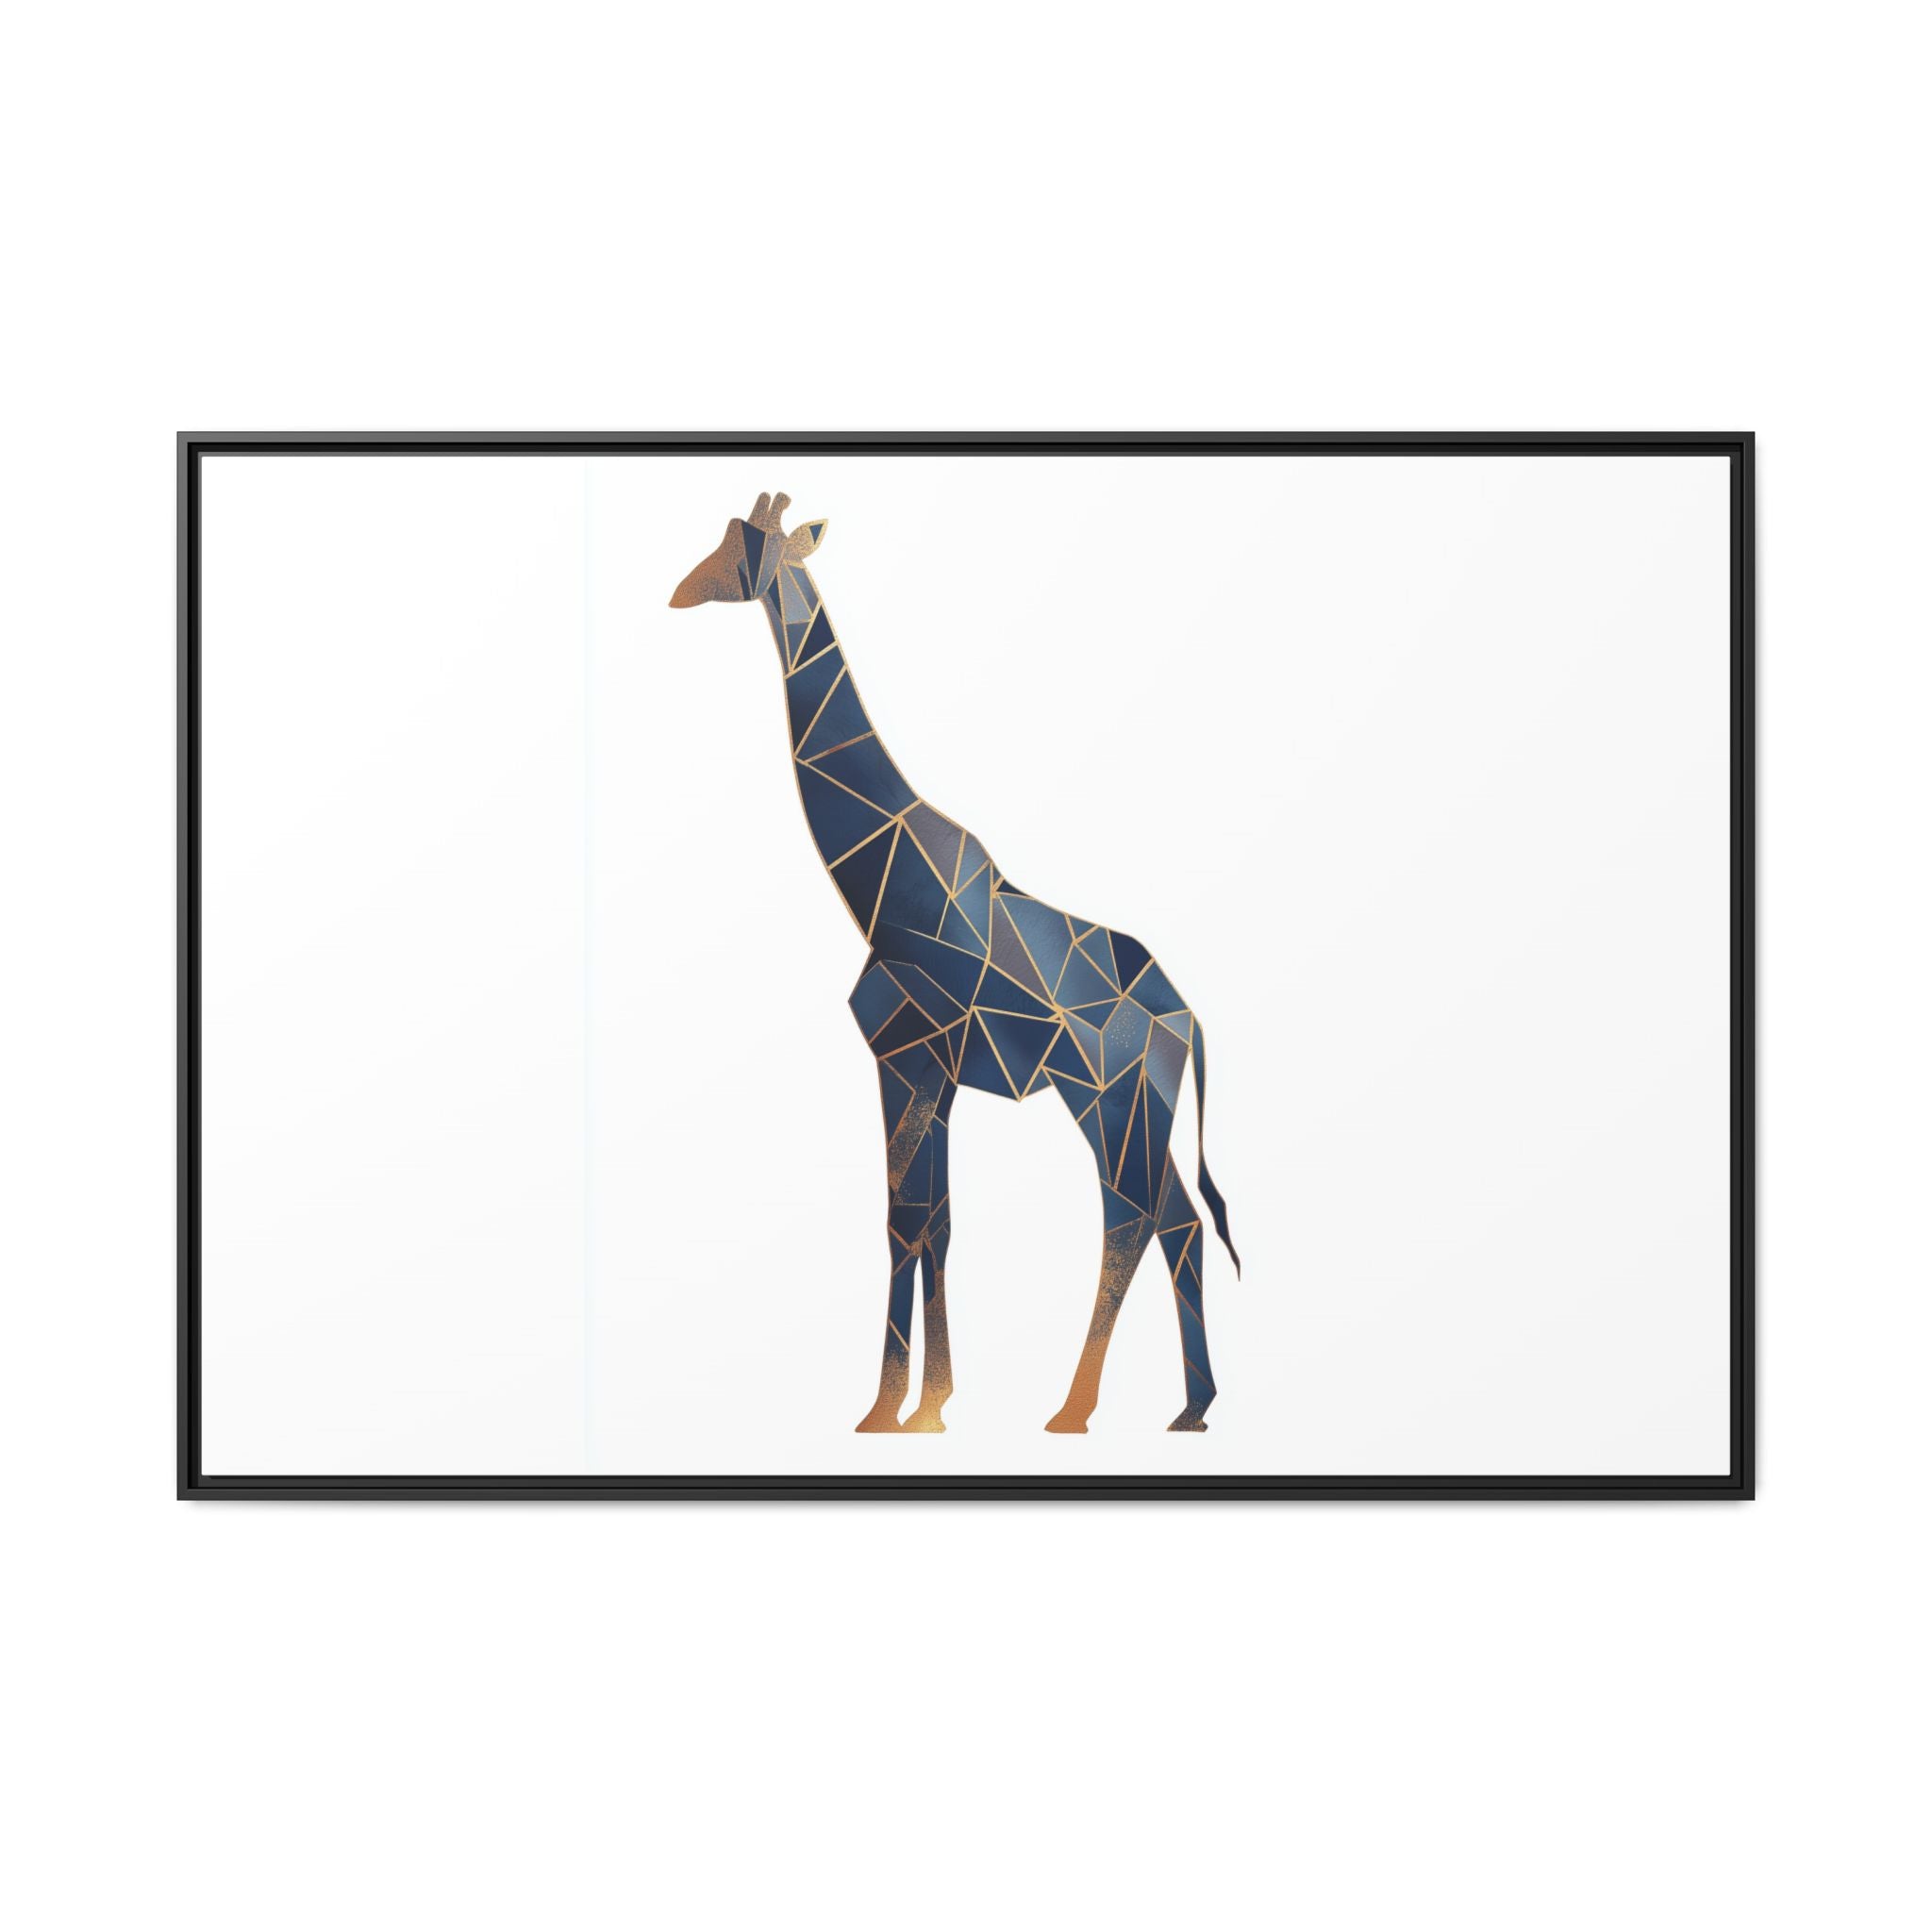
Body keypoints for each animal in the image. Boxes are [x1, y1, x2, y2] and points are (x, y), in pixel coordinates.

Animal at [669, 492, 1241, 1433]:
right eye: (723, 538)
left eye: (745, 549)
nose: (681, 591)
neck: (881, 888)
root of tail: (1187, 1019)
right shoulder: (927, 1072)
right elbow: (930, 1220)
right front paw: (920, 1405)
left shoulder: (907, 1057)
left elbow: (907, 1221)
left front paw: (896, 1408)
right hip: (1137, 1104)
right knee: (1177, 1221)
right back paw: (1190, 1408)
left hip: (1107, 1096)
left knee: (1131, 1216)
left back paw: (1076, 1410)